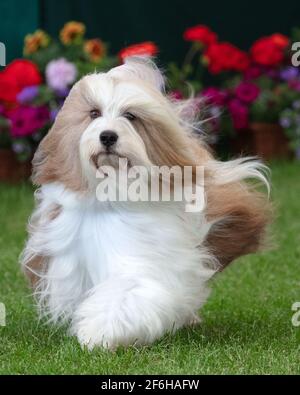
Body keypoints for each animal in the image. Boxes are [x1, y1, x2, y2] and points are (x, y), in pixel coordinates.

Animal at [20, 56, 270, 350]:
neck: (113, 192)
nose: (108, 136)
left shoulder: (145, 258)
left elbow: (129, 290)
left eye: (130, 116)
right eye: (94, 113)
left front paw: (99, 331)